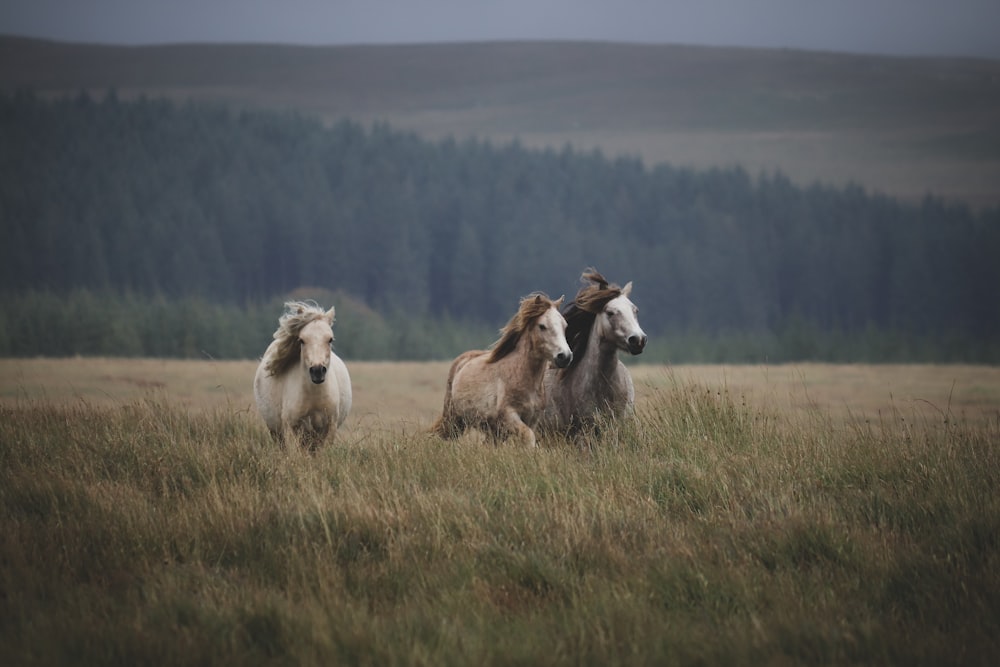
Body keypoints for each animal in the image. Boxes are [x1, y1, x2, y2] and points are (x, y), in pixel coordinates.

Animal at [254, 302, 352, 448]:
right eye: (301, 340)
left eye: (330, 339)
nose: (317, 371)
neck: (314, 396)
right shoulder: (290, 429)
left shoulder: (329, 429)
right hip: (276, 432)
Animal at [430, 292, 572, 448]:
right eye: (542, 326)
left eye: (565, 325)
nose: (565, 356)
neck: (523, 376)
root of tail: (461, 361)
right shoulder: (509, 416)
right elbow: (529, 436)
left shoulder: (533, 419)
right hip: (454, 419)